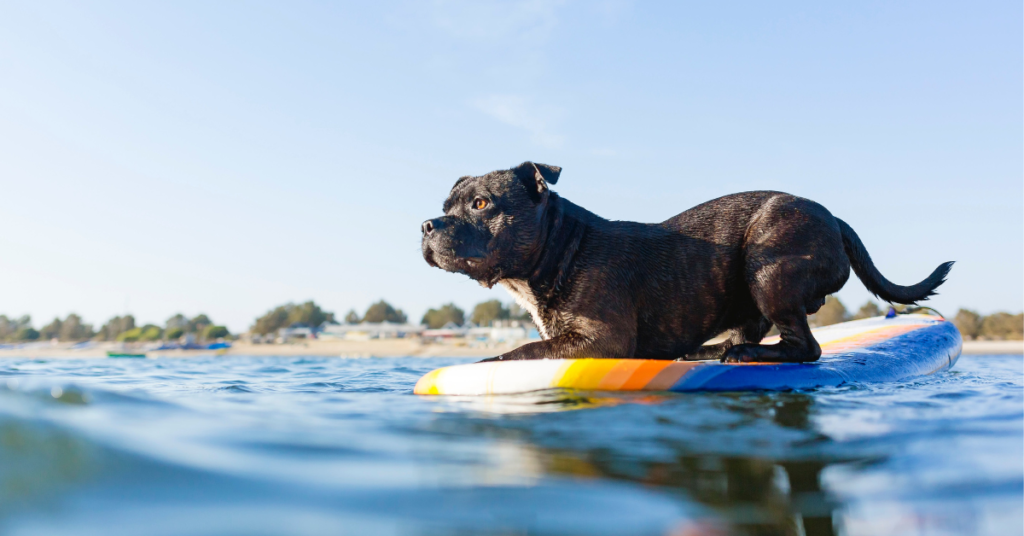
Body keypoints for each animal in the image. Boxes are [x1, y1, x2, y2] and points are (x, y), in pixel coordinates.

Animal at [419, 163, 946, 364]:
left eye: (482, 205)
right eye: (446, 206)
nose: (426, 225)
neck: (560, 247)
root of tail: (833, 218)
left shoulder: (600, 339)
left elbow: (521, 351)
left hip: (769, 265)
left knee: (805, 347)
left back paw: (748, 355)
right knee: (752, 330)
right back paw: (712, 351)